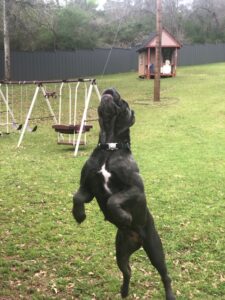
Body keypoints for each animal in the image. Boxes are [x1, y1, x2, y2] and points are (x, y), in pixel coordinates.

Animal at [73, 88, 175, 298]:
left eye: (125, 103)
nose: (111, 90)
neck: (109, 148)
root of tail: (136, 239)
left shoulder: (136, 190)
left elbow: (113, 199)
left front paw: (124, 216)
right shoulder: (88, 188)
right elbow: (77, 196)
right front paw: (79, 215)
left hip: (155, 250)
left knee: (165, 275)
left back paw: (170, 294)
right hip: (121, 252)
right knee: (127, 271)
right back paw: (124, 291)